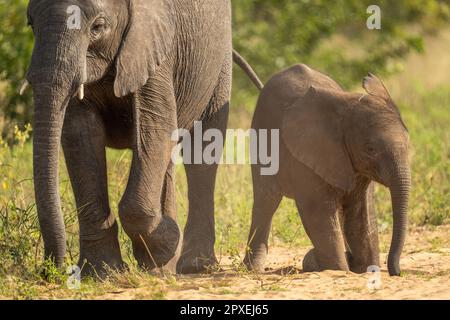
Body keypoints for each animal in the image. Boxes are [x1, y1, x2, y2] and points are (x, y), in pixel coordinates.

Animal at [23, 0, 264, 276]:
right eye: (31, 24)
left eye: (98, 27)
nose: (49, 269)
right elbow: (79, 136)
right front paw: (102, 274)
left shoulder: (155, 47)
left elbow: (156, 125)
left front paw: (164, 244)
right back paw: (165, 269)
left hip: (218, 63)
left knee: (202, 154)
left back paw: (191, 265)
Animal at [244, 64, 410, 276]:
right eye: (370, 149)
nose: (396, 271)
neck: (348, 106)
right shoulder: (309, 152)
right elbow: (319, 213)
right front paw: (340, 270)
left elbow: (360, 211)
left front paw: (365, 269)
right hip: (260, 136)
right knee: (266, 200)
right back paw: (253, 270)